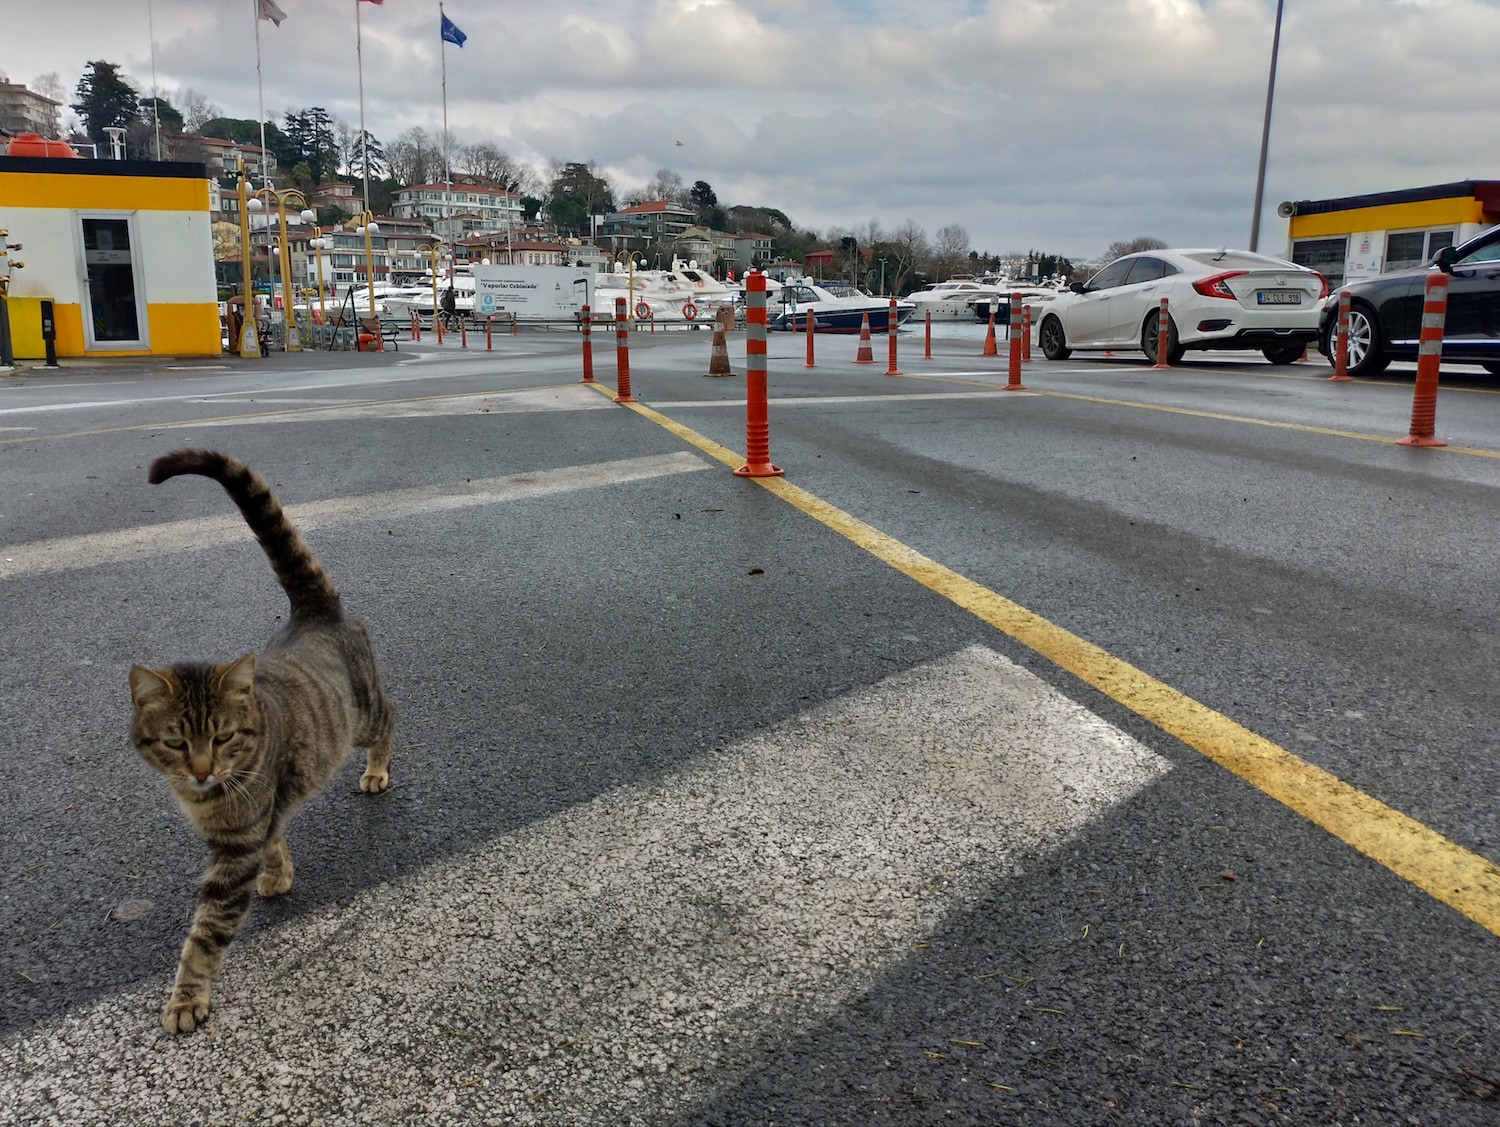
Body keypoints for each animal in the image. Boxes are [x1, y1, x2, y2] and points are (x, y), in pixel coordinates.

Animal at [129, 450, 396, 1032]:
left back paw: (377, 769)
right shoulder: (257, 821)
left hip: (363, 715)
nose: (202, 771)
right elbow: (275, 840)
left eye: (223, 737)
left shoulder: (234, 852)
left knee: (390, 716)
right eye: (176, 743)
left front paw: (186, 999)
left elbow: (204, 934)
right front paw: (280, 874)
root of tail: (315, 612)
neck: (207, 798)